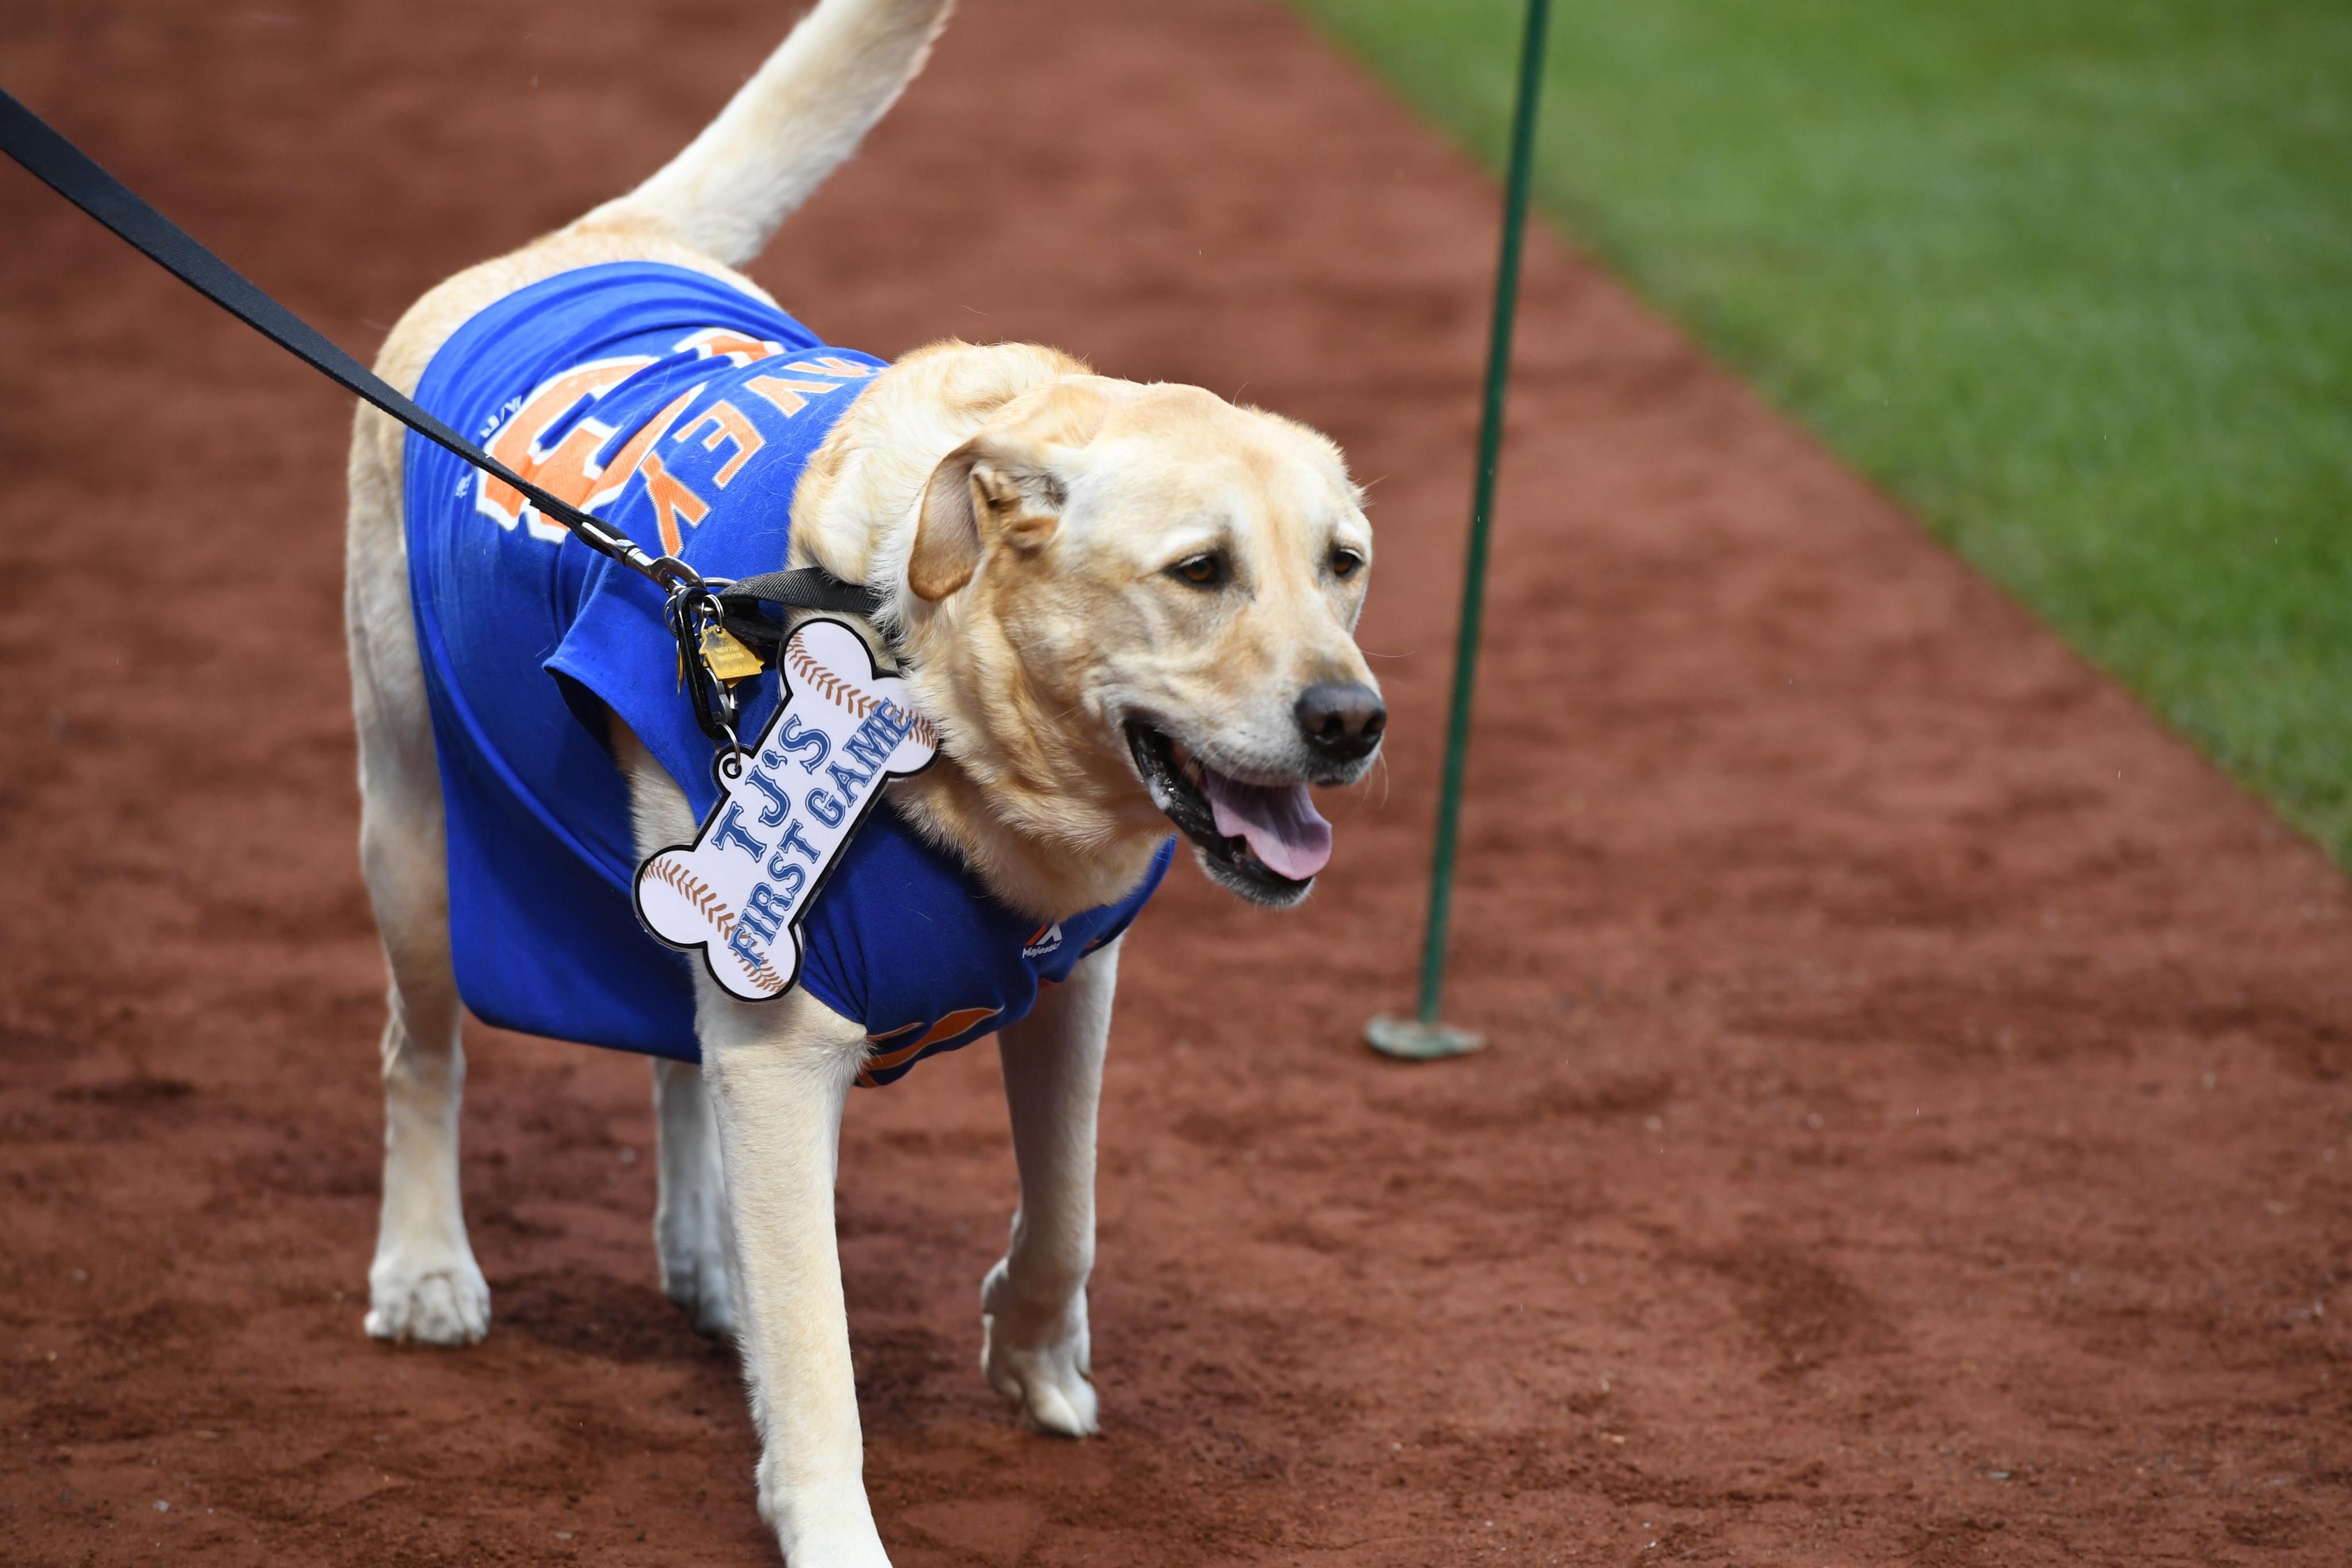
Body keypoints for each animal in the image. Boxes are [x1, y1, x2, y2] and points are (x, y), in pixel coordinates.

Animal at [341, 3, 1382, 1561]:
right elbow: (820, 1354)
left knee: (669, 1051)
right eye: (1200, 571)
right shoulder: (786, 1041)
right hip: (410, 815)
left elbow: (1068, 1206)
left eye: (1345, 563)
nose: (1353, 721)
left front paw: (1032, 1360)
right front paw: (831, 1520)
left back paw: (704, 1260)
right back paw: (423, 1269)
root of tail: (603, 231)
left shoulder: (1071, 979)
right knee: (424, 1050)